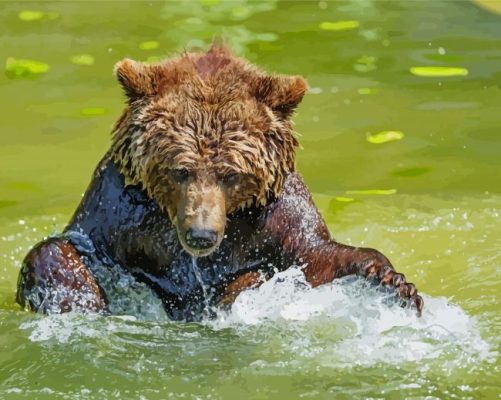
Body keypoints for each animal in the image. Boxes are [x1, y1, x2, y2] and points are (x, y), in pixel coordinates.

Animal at [15, 44, 422, 318]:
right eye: (180, 170)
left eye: (231, 174)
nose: (201, 234)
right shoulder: (120, 212)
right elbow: (67, 248)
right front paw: (74, 297)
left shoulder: (275, 214)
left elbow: (316, 253)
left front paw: (396, 282)